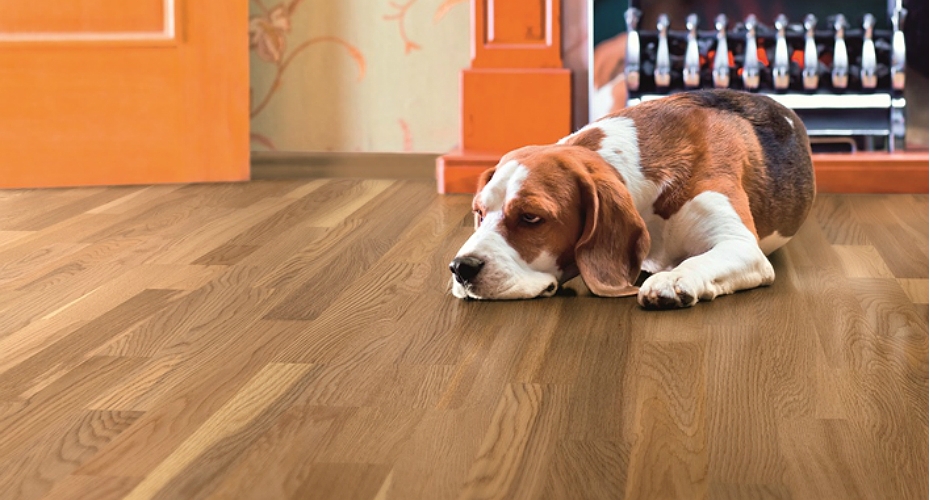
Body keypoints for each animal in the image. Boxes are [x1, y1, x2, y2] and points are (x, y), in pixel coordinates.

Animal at [450, 90, 812, 308]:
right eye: (479, 212)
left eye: (530, 217)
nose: (460, 268)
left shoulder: (741, 245)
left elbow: (701, 259)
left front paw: (674, 278)